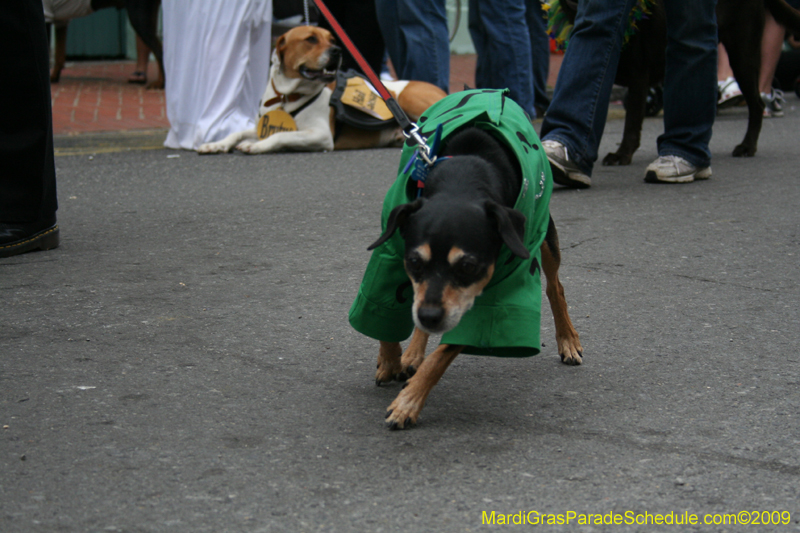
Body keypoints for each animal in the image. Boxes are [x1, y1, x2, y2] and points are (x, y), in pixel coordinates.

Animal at [197, 25, 446, 154]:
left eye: (332, 39)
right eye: (310, 39)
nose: (337, 51)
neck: (289, 95)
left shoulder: (321, 134)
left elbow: (281, 136)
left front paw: (256, 145)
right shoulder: (261, 125)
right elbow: (236, 132)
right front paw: (215, 144)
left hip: (409, 99)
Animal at [364, 125, 580, 428]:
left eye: (468, 266)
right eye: (414, 262)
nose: (430, 316)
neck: (461, 181)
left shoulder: (491, 298)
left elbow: (440, 357)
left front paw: (408, 403)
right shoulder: (390, 254)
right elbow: (383, 311)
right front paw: (390, 360)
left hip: (544, 233)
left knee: (555, 287)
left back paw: (568, 339)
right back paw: (412, 353)